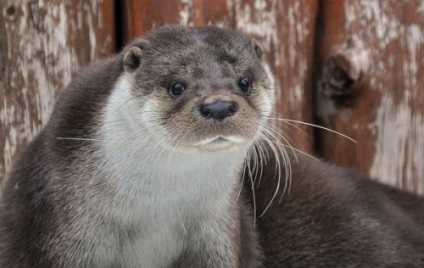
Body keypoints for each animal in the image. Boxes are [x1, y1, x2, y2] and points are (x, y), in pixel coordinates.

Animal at [0, 24, 422, 266]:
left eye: (244, 82)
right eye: (176, 85)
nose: (219, 105)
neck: (150, 215)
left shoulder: (221, 235)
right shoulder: (56, 232)